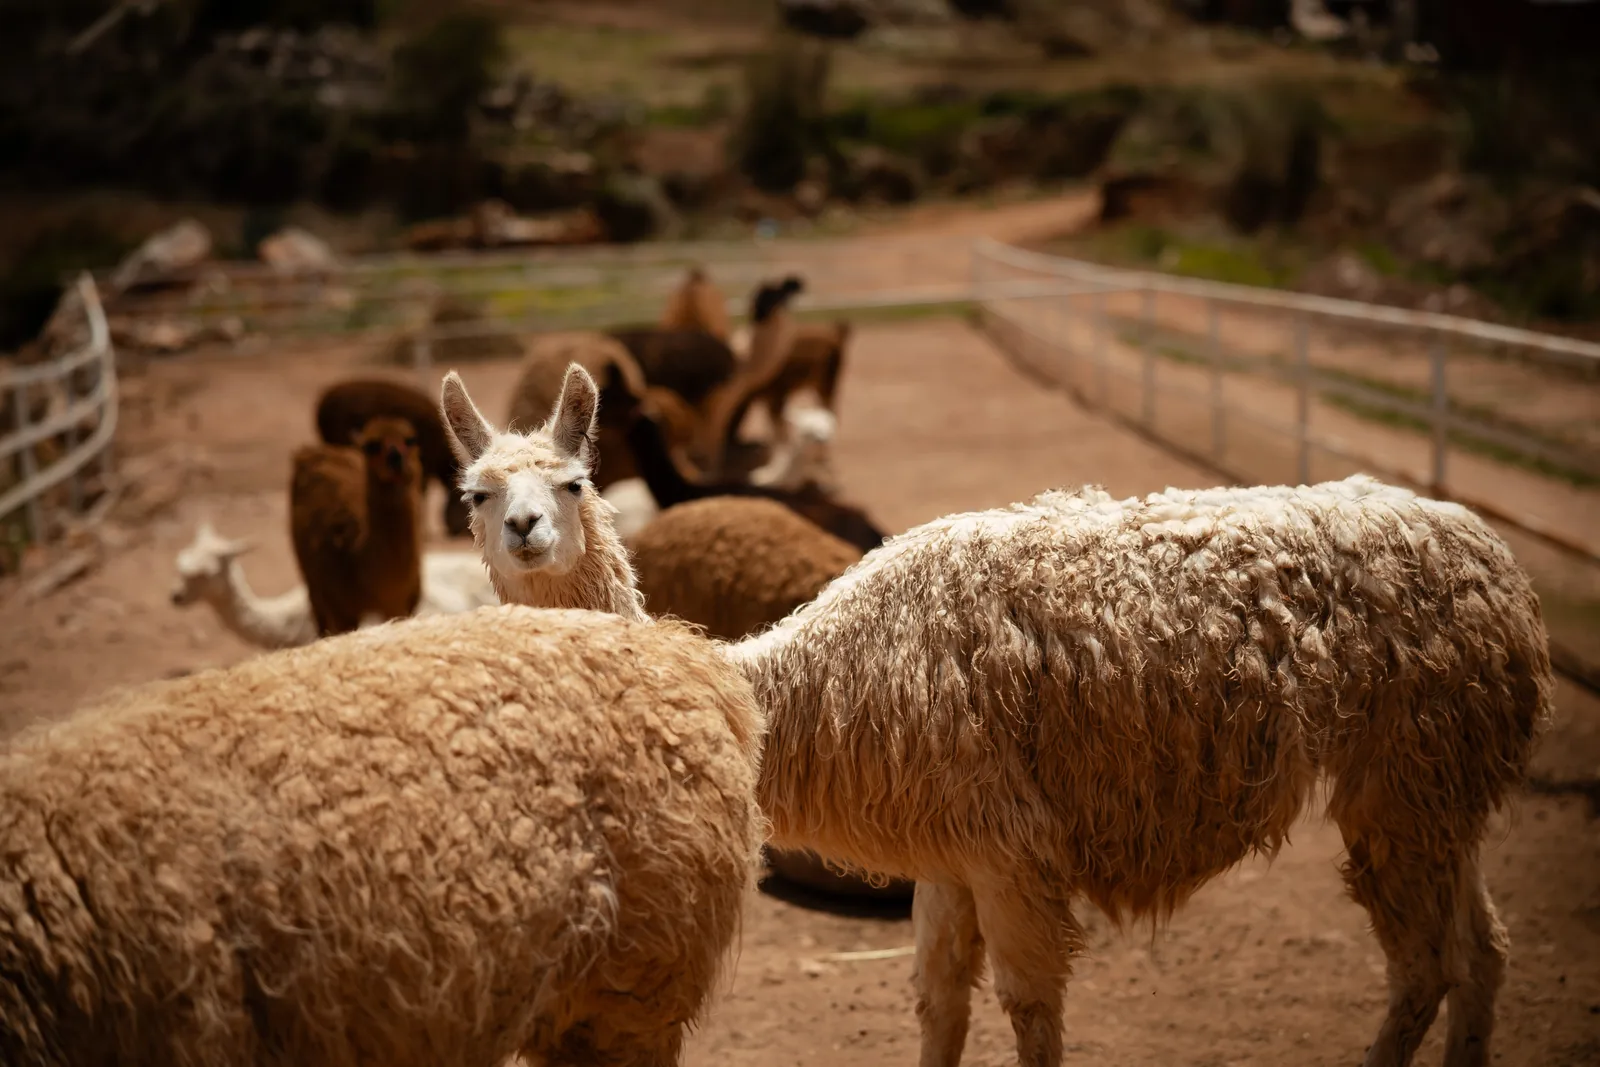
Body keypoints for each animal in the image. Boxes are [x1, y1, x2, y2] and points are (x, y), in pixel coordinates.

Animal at [291, 414, 425, 637]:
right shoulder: (341, 609)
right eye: (371, 446)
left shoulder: (403, 605)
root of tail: (312, 451)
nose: (395, 458)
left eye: (410, 440)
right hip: (311, 578)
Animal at [480, 472, 1553, 1067]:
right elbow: (937, 1004)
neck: (801, 685)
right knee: (1485, 950)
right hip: (1437, 782)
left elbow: (1030, 1010)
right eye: (476, 488)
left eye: (570, 481)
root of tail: (1499, 565)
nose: (523, 531)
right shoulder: (947, 856)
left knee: (1424, 966)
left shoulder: (1007, 848)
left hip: (1403, 781)